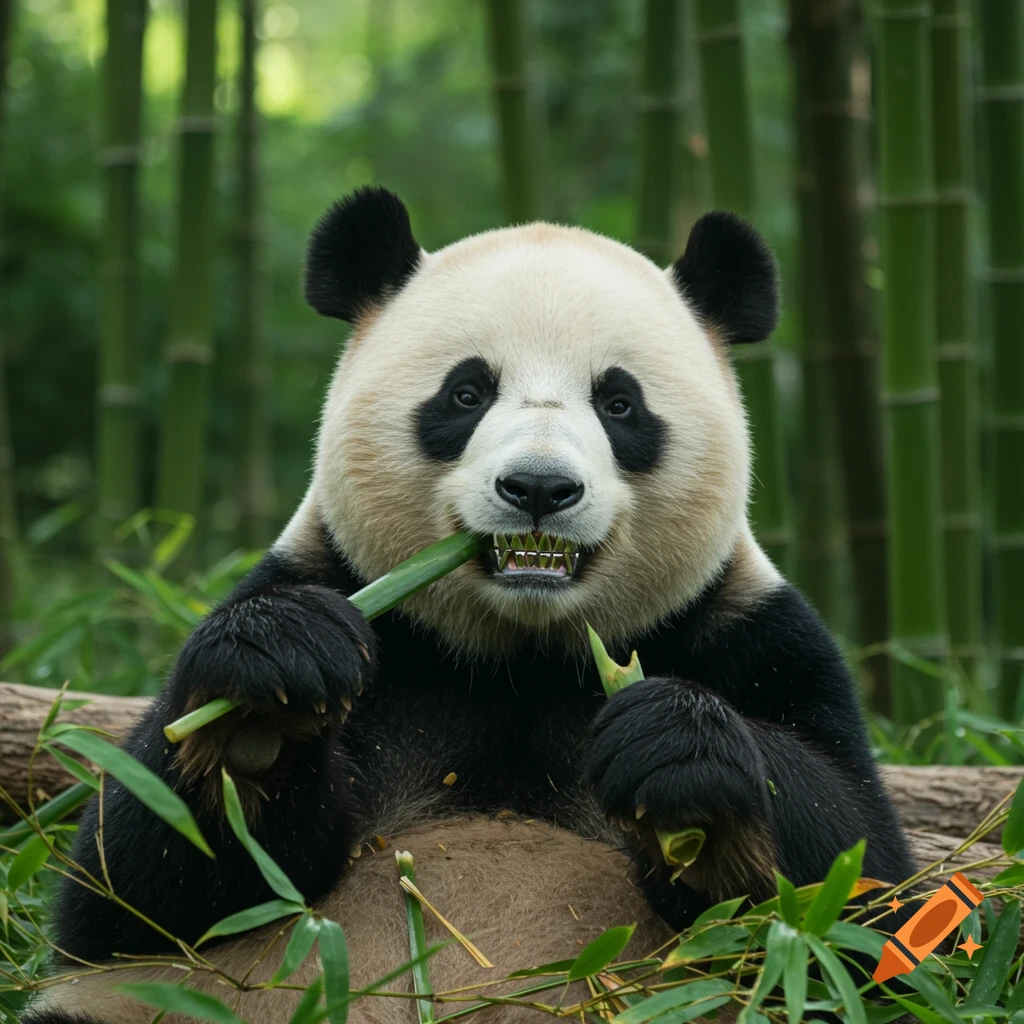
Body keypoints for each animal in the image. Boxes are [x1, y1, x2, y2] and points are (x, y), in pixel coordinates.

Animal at [26, 187, 914, 1024]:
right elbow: (136, 892)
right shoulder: (346, 595)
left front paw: (675, 748)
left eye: (619, 404)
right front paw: (264, 695)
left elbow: (862, 899)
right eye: (466, 393)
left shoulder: (750, 634)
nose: (539, 488)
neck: (522, 655)